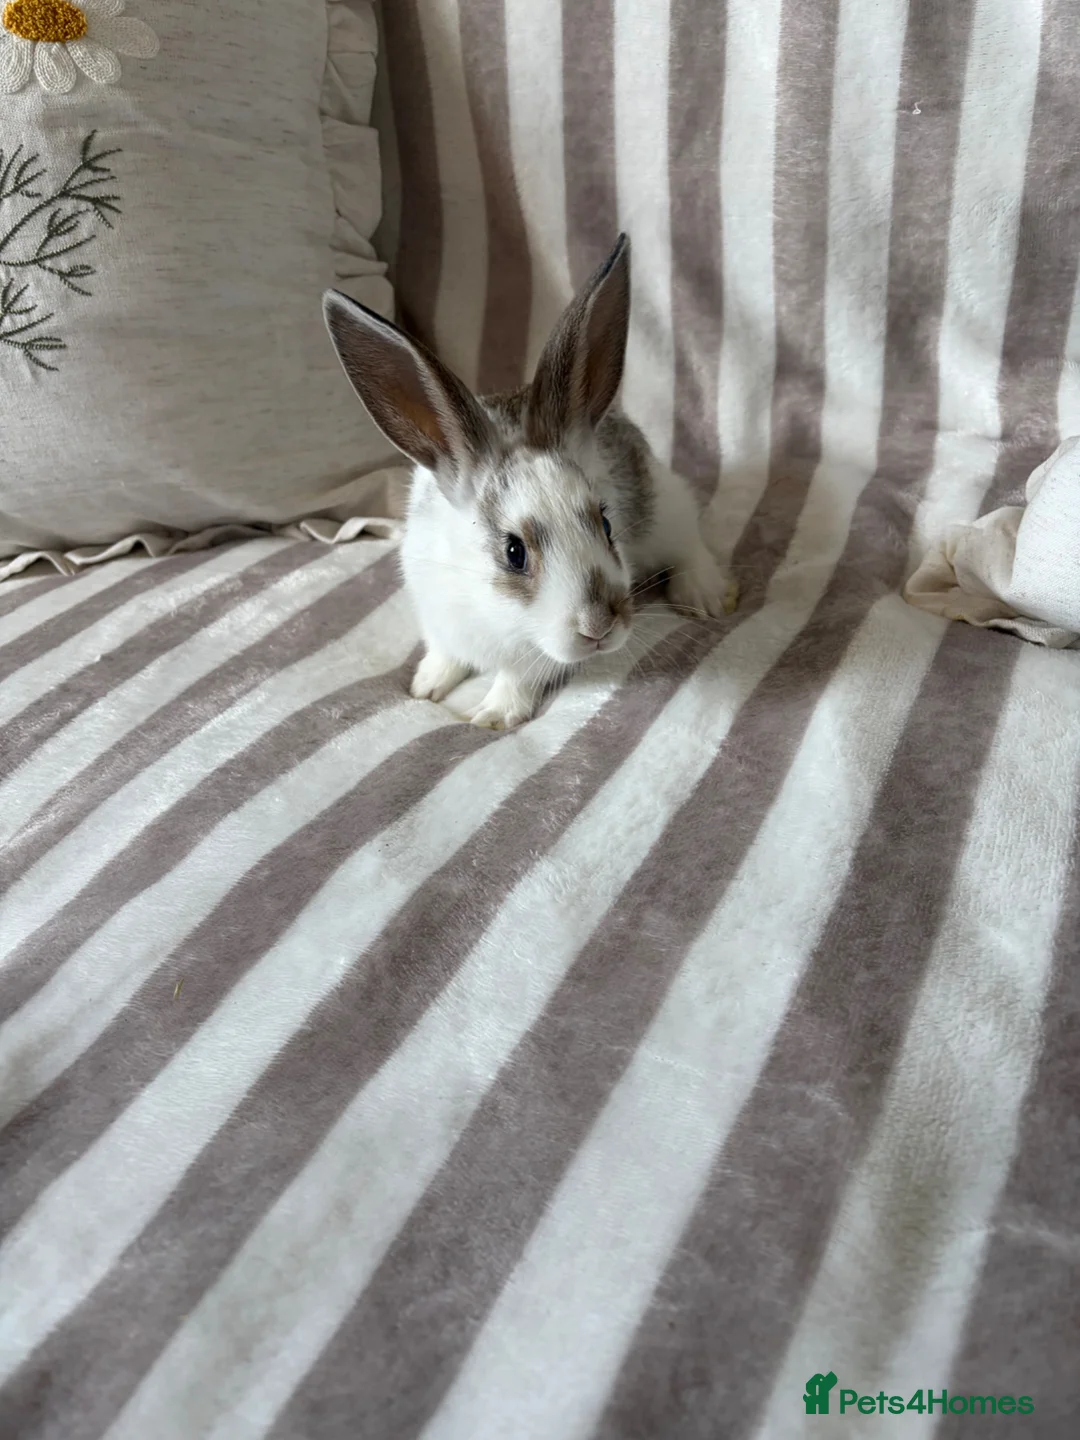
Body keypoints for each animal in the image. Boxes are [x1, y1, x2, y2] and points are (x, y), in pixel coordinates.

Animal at [322, 233, 737, 730]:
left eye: (607, 525)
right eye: (513, 553)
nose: (599, 627)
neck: (484, 608)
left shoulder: (533, 658)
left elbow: (516, 679)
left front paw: (491, 716)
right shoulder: (437, 617)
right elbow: (443, 655)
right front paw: (425, 686)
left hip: (665, 509)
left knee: (690, 544)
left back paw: (705, 597)